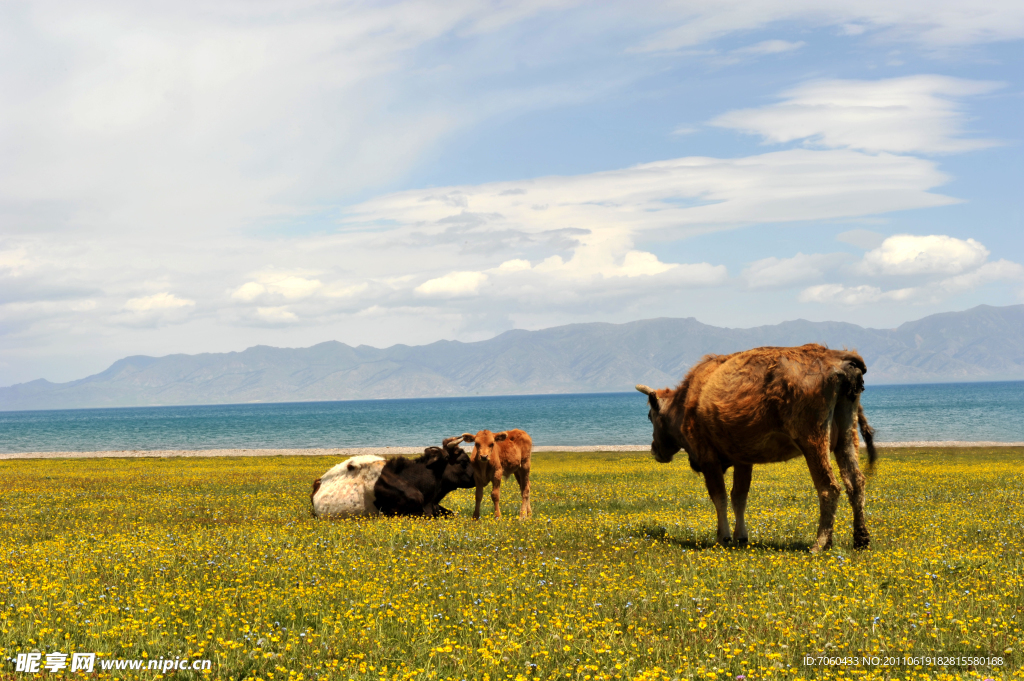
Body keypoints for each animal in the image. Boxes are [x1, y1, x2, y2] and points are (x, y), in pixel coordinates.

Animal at [634, 346, 876, 552]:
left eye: (650, 416)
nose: (655, 450)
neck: (687, 400)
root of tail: (837, 357)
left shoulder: (708, 458)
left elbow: (720, 497)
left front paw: (723, 537)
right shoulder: (743, 459)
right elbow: (739, 497)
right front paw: (741, 537)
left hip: (813, 441)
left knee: (829, 487)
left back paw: (820, 544)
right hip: (846, 436)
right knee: (856, 482)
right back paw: (861, 540)